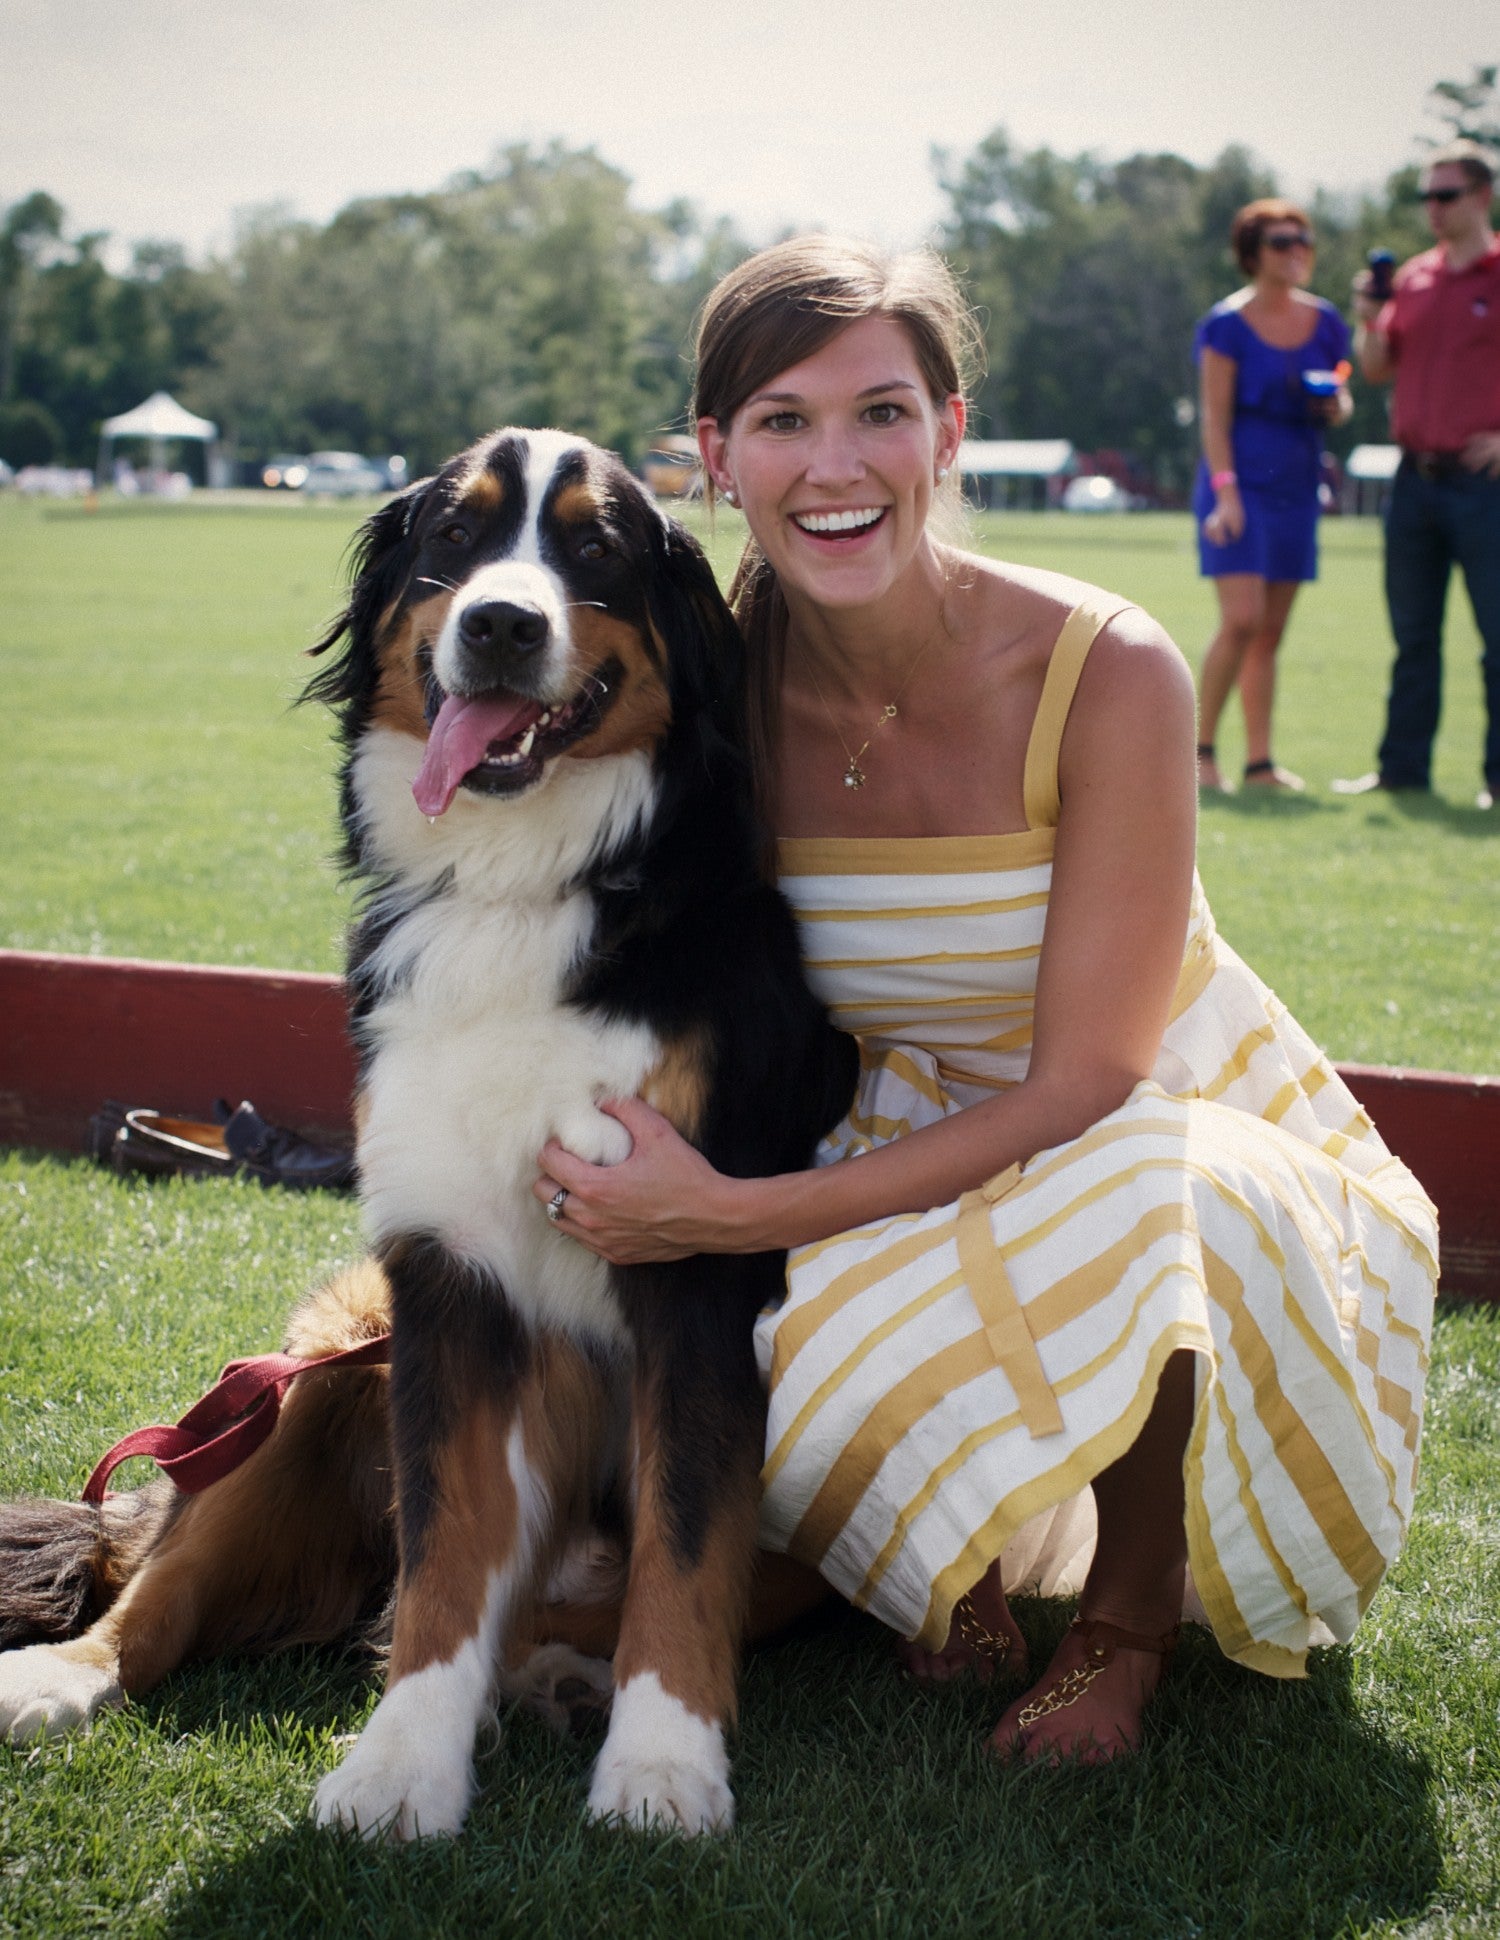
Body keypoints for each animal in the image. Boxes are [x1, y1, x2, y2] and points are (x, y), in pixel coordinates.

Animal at [0, 428, 855, 1838]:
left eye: (594, 548)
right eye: (454, 539)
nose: (501, 623)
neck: (521, 885)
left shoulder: (692, 1257)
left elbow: (684, 1542)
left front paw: (661, 1763)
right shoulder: (445, 1273)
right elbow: (447, 1554)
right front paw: (402, 1763)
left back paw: (566, 1675)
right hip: (321, 1366)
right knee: (172, 1580)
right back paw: (60, 1674)